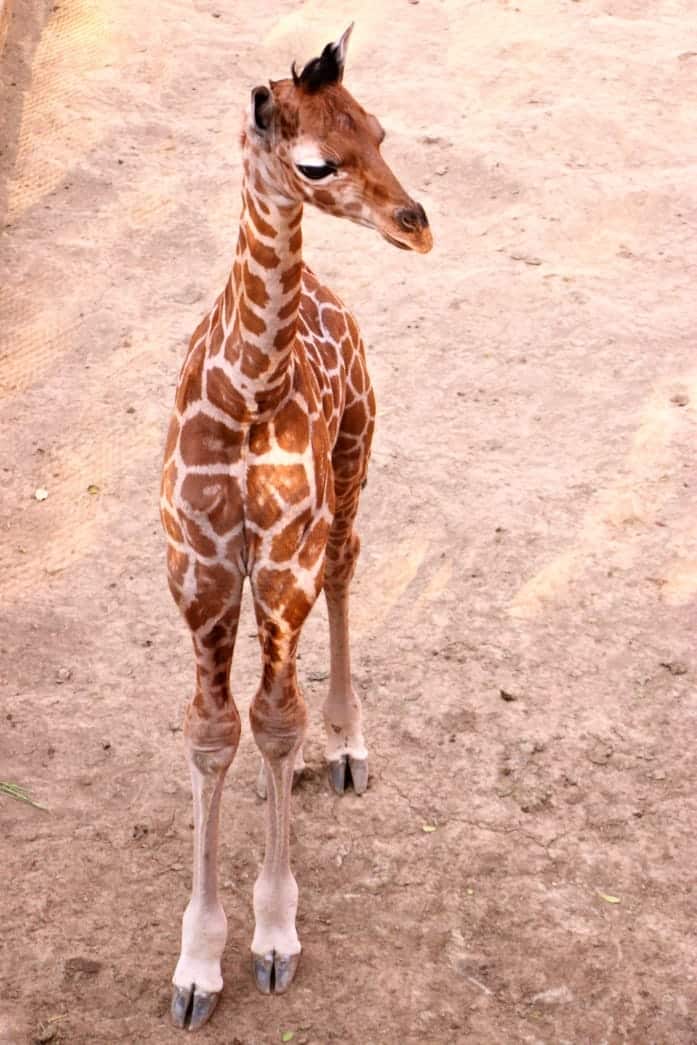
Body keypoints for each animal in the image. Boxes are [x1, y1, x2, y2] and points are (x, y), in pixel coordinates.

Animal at [160, 24, 430, 1028]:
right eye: (315, 161)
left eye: (380, 129)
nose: (416, 222)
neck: (247, 392)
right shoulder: (200, 571)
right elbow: (212, 732)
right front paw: (196, 966)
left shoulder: (279, 561)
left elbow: (275, 722)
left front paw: (273, 938)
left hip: (353, 457)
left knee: (348, 564)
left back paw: (347, 745)